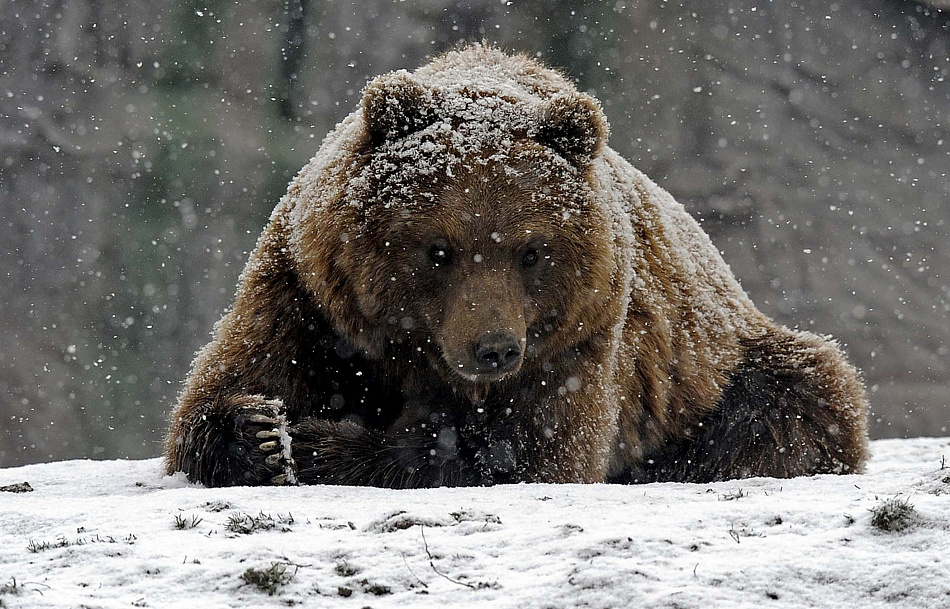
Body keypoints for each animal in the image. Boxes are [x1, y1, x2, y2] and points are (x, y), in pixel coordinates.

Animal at [164, 42, 872, 490]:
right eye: (439, 249)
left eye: (532, 250)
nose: (495, 348)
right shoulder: (309, 295)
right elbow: (226, 385)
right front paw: (262, 435)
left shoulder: (581, 334)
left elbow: (525, 451)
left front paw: (321, 445)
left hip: (715, 368)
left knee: (803, 393)